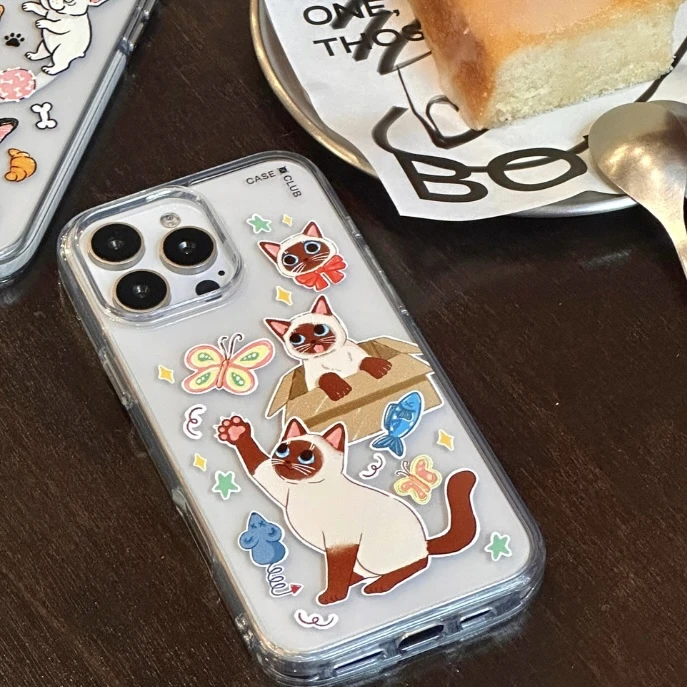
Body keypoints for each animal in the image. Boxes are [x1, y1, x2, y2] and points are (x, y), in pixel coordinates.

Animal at [217, 415, 479, 606]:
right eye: (282, 450)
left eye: (306, 455)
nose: (286, 461)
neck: (307, 490)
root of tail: (423, 542)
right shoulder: (279, 485)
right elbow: (258, 465)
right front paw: (237, 433)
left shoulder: (340, 541)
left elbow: (337, 570)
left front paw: (334, 595)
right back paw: (356, 580)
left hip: (374, 552)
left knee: (418, 563)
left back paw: (381, 584)